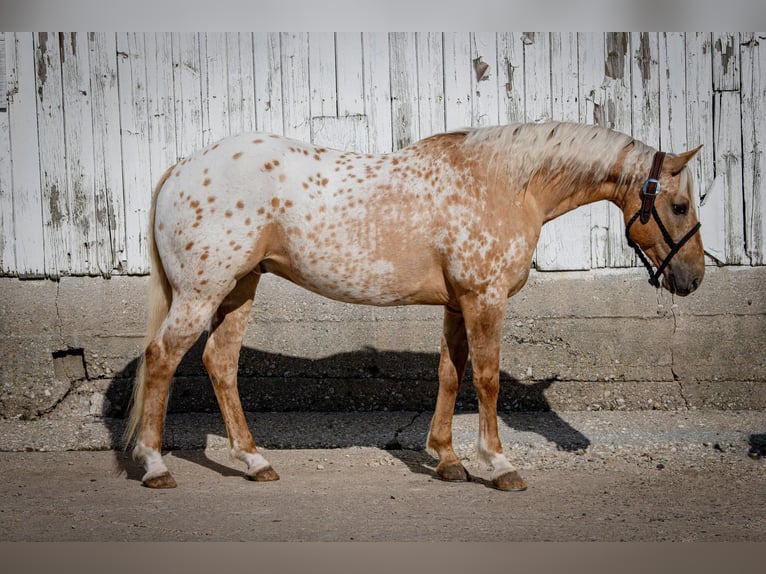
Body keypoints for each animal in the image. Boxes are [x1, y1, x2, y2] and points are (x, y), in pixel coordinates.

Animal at [126, 121, 708, 490]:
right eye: (679, 206)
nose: (693, 278)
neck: (504, 183)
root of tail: (181, 166)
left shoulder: (457, 304)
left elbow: (451, 374)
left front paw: (448, 459)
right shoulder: (484, 299)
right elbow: (487, 379)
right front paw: (498, 465)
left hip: (240, 287)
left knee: (220, 363)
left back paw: (253, 461)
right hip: (203, 292)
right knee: (162, 359)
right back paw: (155, 466)